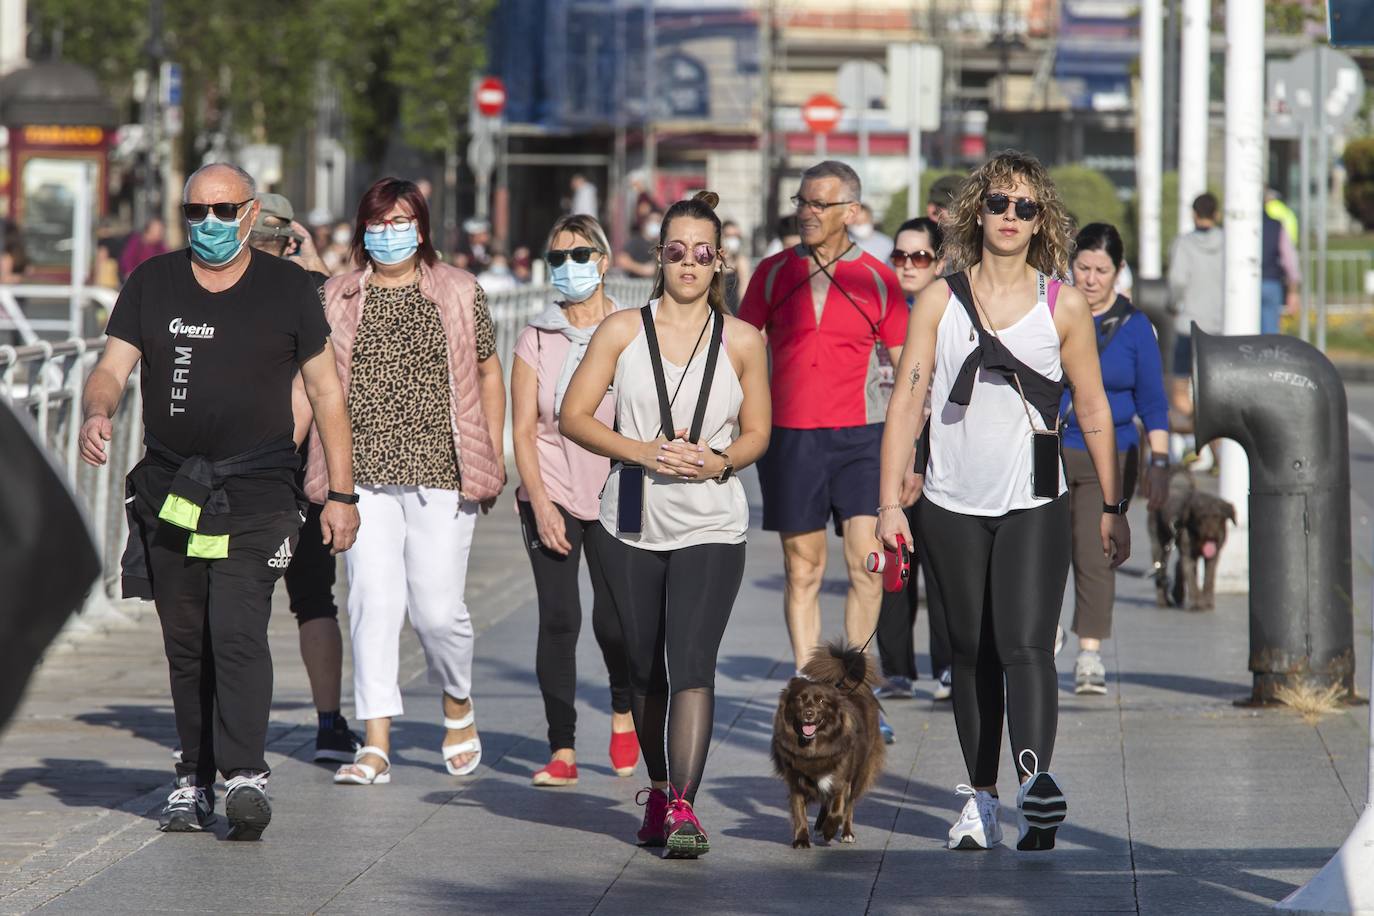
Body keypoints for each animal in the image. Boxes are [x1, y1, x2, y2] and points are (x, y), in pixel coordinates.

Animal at [769, 642, 884, 851]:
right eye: (799, 699)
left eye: (821, 701)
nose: (808, 713)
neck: (813, 745)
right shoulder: (796, 781)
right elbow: (799, 812)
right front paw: (801, 839)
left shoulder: (842, 780)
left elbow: (838, 808)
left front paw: (830, 830)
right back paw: (819, 827)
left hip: (860, 772)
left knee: (849, 806)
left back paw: (845, 833)